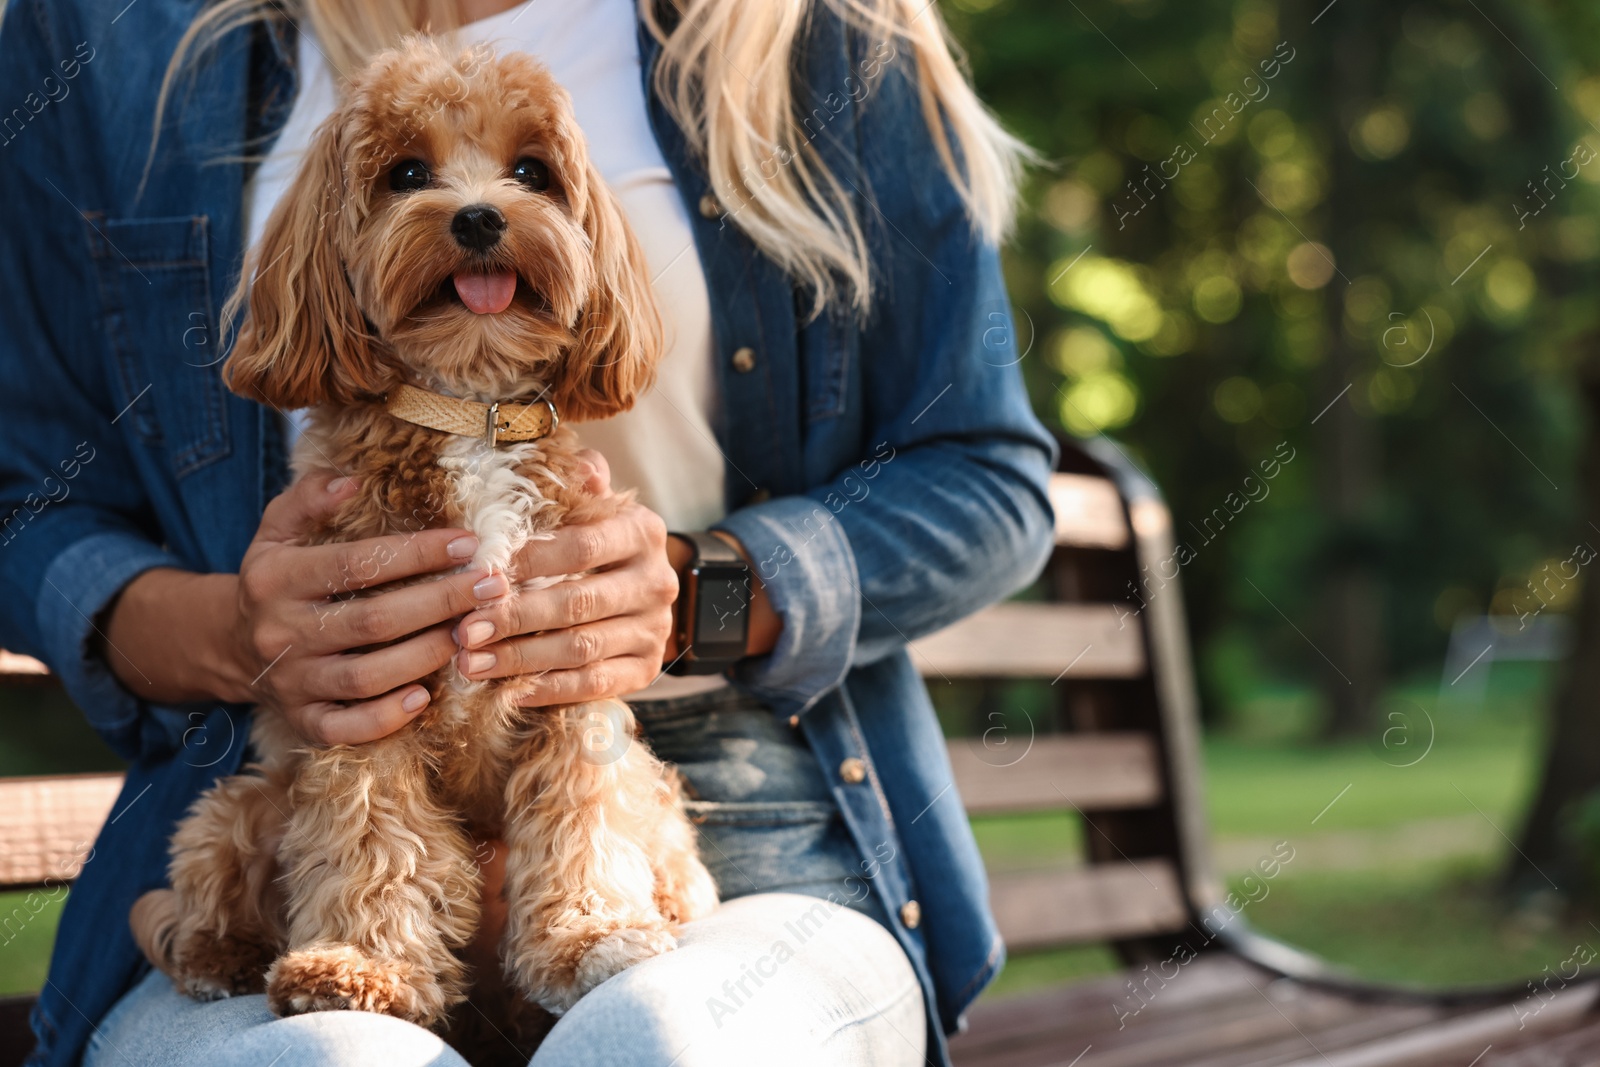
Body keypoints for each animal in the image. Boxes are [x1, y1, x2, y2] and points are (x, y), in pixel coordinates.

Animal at [157, 39, 720, 1023]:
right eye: (406, 174)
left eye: (532, 171)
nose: (480, 216)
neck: (471, 411)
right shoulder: (360, 690)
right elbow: (373, 833)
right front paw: (359, 964)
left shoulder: (571, 684)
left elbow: (581, 816)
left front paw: (589, 938)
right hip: (245, 804)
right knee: (217, 854)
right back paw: (217, 952)